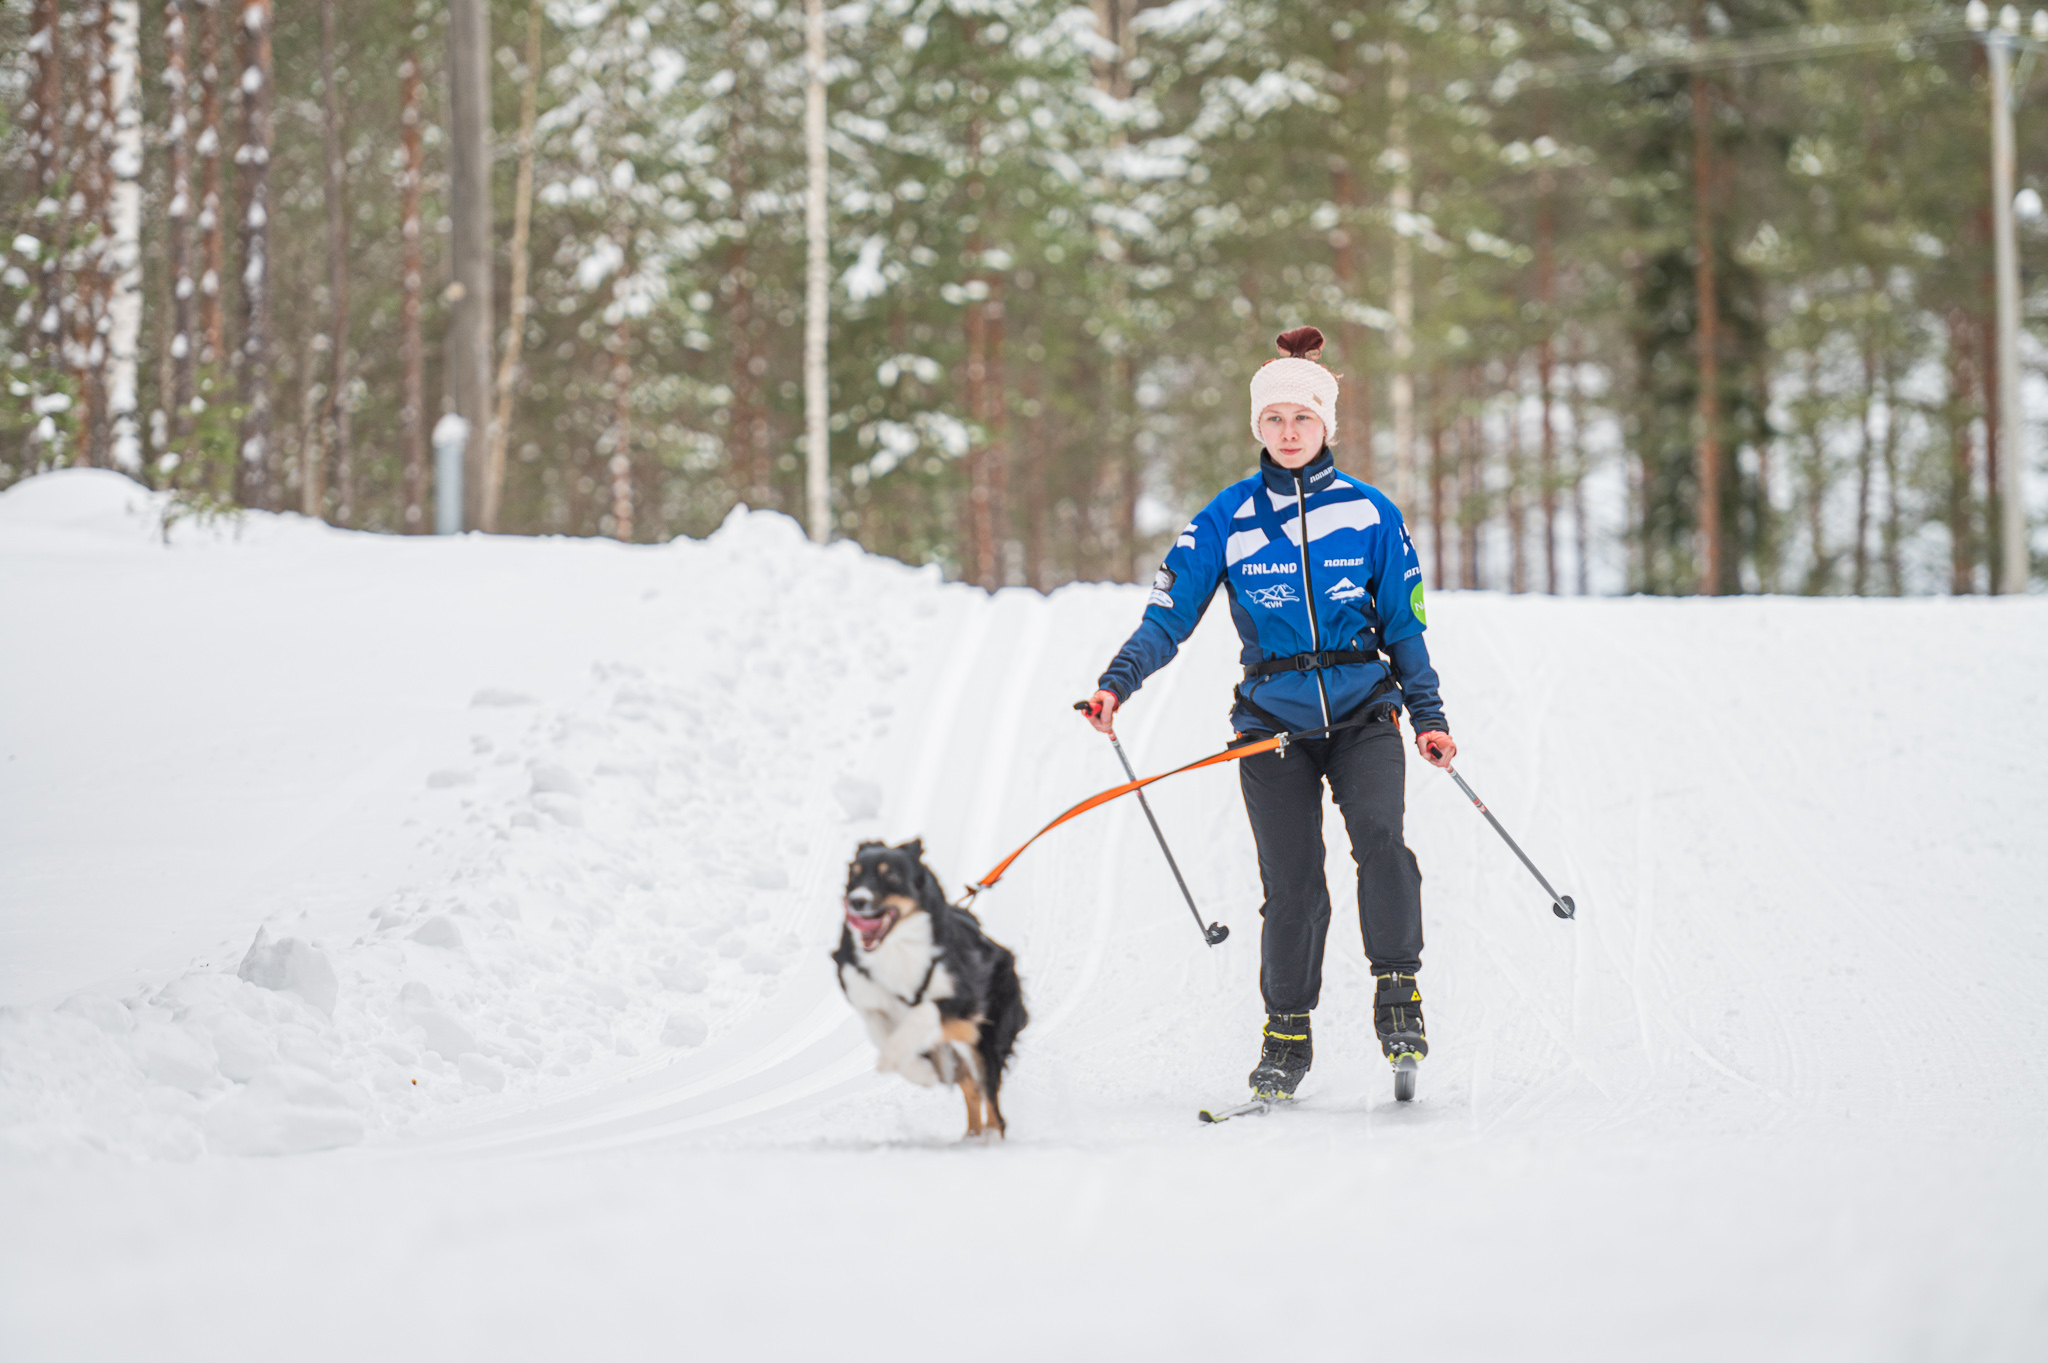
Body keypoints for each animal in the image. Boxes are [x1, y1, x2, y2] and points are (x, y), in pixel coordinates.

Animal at [831, 839, 1024, 1137]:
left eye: (890, 875)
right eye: (855, 874)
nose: (856, 901)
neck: (897, 947)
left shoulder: (964, 998)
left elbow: (924, 1011)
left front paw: (898, 1059)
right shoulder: (867, 997)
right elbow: (881, 1032)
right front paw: (918, 1072)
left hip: (987, 1038)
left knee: (991, 1101)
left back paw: (991, 1136)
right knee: (972, 1088)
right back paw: (970, 1137)